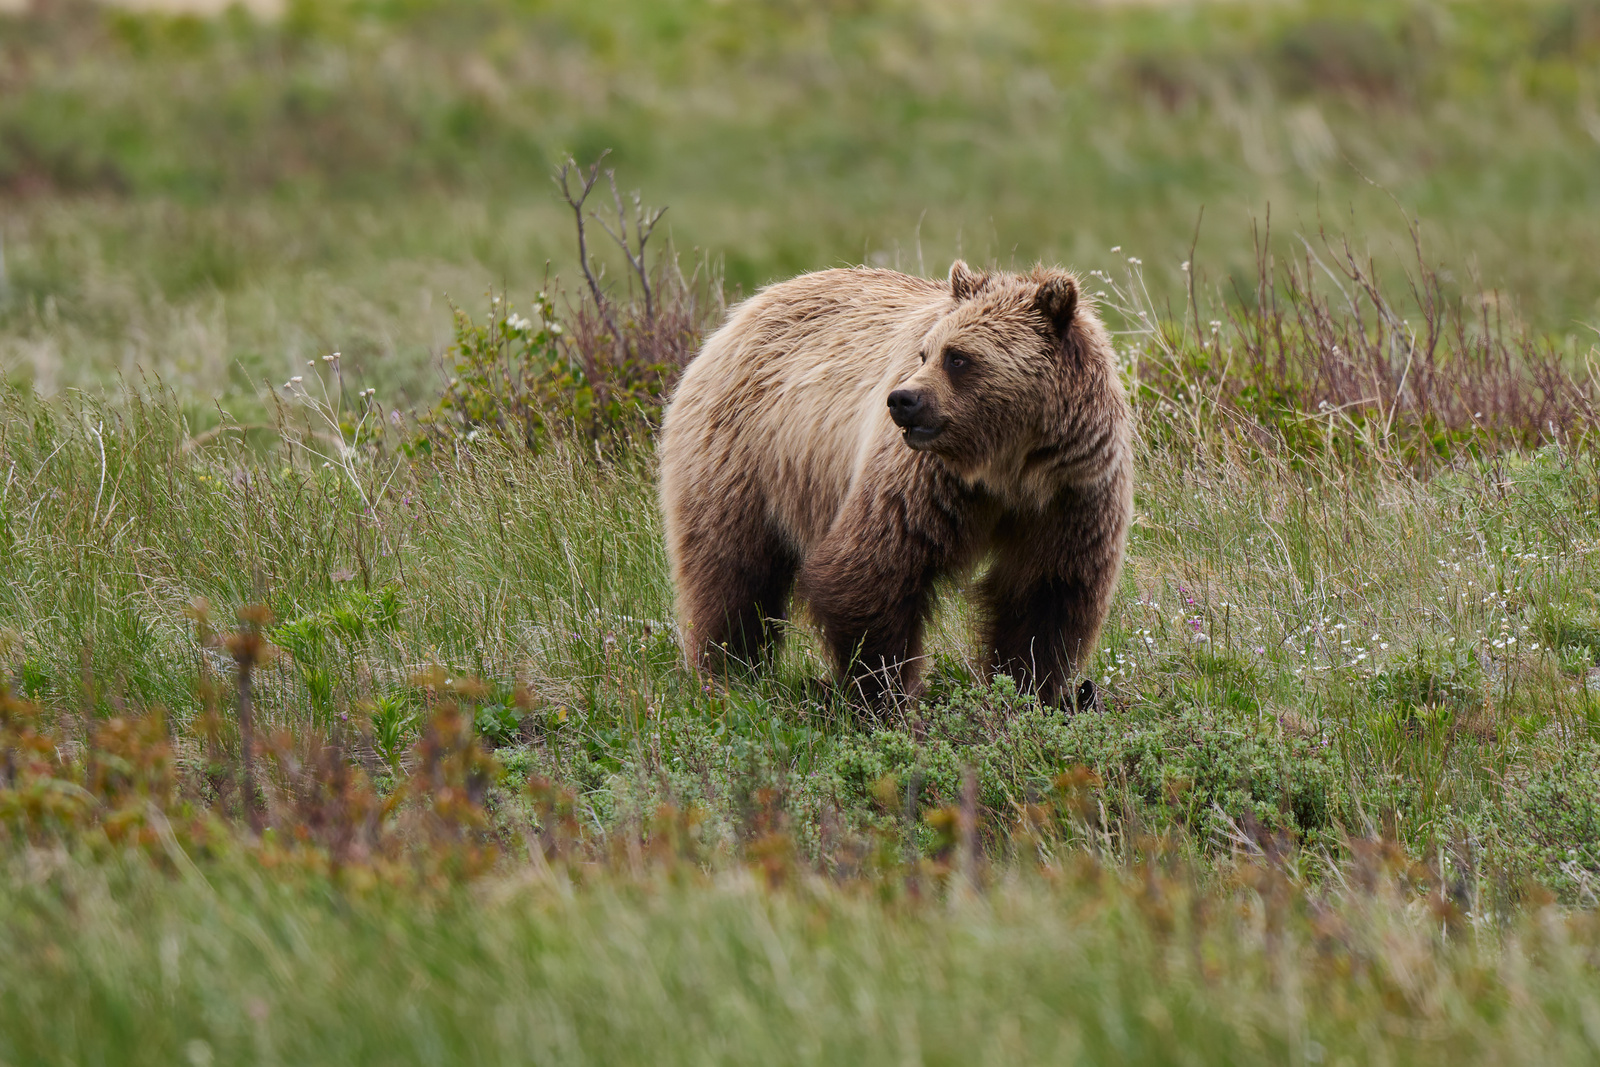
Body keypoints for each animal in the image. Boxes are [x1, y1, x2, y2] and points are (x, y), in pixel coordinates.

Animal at [656, 259, 1132, 710]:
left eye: (958, 358)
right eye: (925, 353)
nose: (903, 400)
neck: (1006, 468)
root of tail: (739, 314)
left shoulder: (1070, 493)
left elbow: (1046, 594)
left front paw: (1029, 691)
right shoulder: (925, 481)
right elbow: (873, 572)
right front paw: (884, 697)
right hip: (742, 456)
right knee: (731, 570)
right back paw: (727, 673)